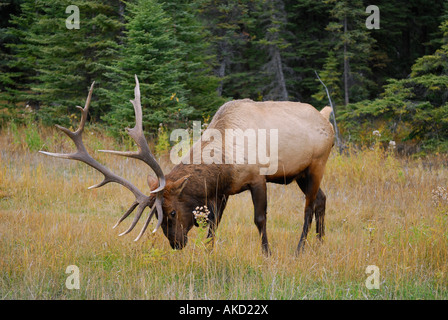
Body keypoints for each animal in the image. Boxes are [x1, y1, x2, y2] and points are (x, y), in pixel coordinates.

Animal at [41, 75, 332, 255]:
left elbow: (259, 219)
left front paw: (267, 254)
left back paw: (300, 248)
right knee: (321, 199)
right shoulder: (221, 190)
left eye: (170, 212)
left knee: (308, 207)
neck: (224, 163)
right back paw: (320, 243)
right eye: (156, 216)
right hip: (301, 174)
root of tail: (326, 118)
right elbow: (214, 223)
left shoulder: (256, 178)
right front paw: (208, 253)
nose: (176, 244)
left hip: (317, 164)